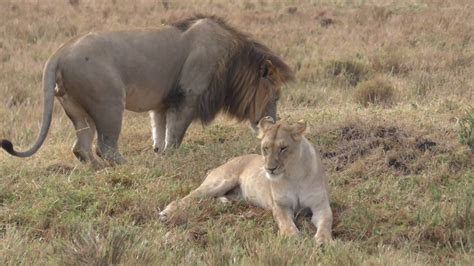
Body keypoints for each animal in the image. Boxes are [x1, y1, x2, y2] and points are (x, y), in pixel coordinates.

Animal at [0, 14, 292, 165]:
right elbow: (176, 133)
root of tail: (59, 52)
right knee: (105, 146)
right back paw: (126, 166)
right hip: (109, 104)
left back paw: (97, 170)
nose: (273, 122)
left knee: (81, 148)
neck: (233, 62)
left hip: (77, 109)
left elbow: (160, 130)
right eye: (275, 96)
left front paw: (158, 153)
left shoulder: (163, 103)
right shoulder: (188, 95)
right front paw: (170, 157)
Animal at [159, 117, 334, 244]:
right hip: (220, 182)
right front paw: (292, 236)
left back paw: (223, 202)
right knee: (188, 197)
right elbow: (285, 222)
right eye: (265, 148)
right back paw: (166, 213)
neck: (294, 175)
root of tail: (229, 160)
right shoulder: (280, 205)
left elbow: (326, 222)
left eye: (283, 148)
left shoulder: (320, 205)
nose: (269, 169)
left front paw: (323, 240)